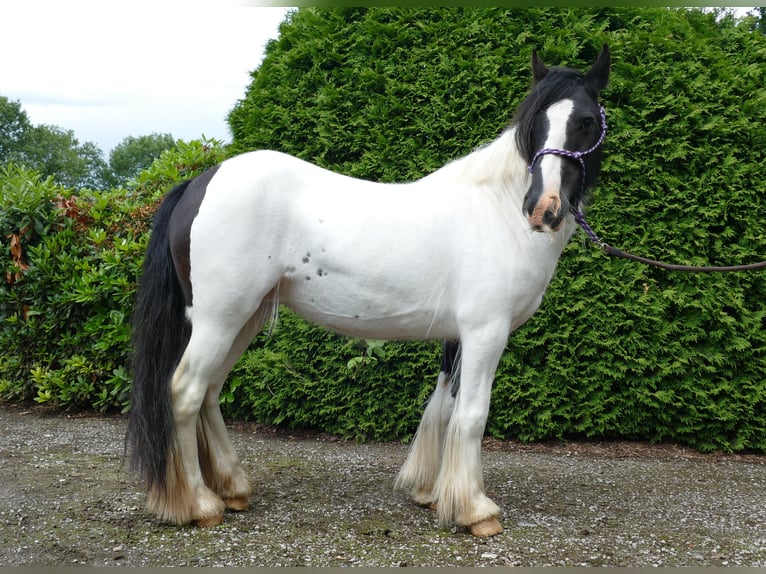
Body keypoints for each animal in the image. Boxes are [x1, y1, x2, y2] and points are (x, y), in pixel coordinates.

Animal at [129, 42, 616, 536]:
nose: (542, 208)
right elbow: (471, 415)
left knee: (210, 392)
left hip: (241, 319)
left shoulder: (458, 336)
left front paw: (430, 492)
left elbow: (444, 406)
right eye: (534, 123)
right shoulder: (486, 332)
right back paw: (200, 504)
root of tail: (200, 182)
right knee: (185, 392)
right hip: (219, 319)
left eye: (586, 121)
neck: (495, 210)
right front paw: (476, 510)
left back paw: (232, 489)